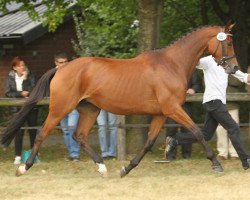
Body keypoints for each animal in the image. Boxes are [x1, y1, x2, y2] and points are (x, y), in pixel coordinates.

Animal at [0, 22, 238, 177]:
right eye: (228, 43)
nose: (234, 68)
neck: (172, 64)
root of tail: (61, 68)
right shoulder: (172, 109)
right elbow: (197, 132)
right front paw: (216, 164)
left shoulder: (161, 113)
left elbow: (149, 142)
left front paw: (126, 168)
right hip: (61, 108)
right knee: (42, 133)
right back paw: (23, 167)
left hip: (90, 110)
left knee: (79, 136)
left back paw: (102, 167)